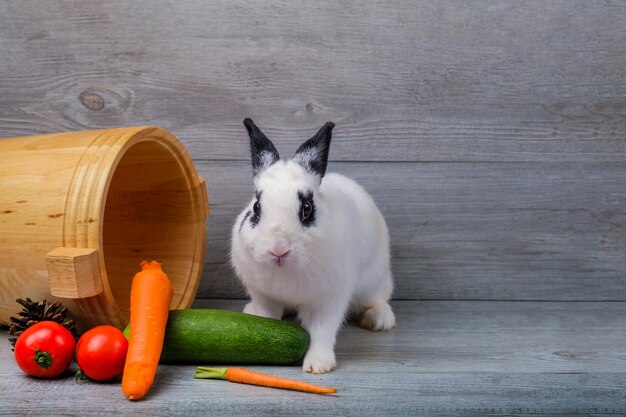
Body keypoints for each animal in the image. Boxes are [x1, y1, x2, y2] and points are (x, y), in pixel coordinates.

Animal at [229, 118, 394, 374]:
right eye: (256, 207)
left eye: (307, 208)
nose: (278, 249)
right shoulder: (264, 296)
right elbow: (267, 319)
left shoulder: (328, 301)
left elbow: (322, 332)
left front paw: (318, 365)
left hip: (373, 282)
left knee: (380, 298)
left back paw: (379, 320)